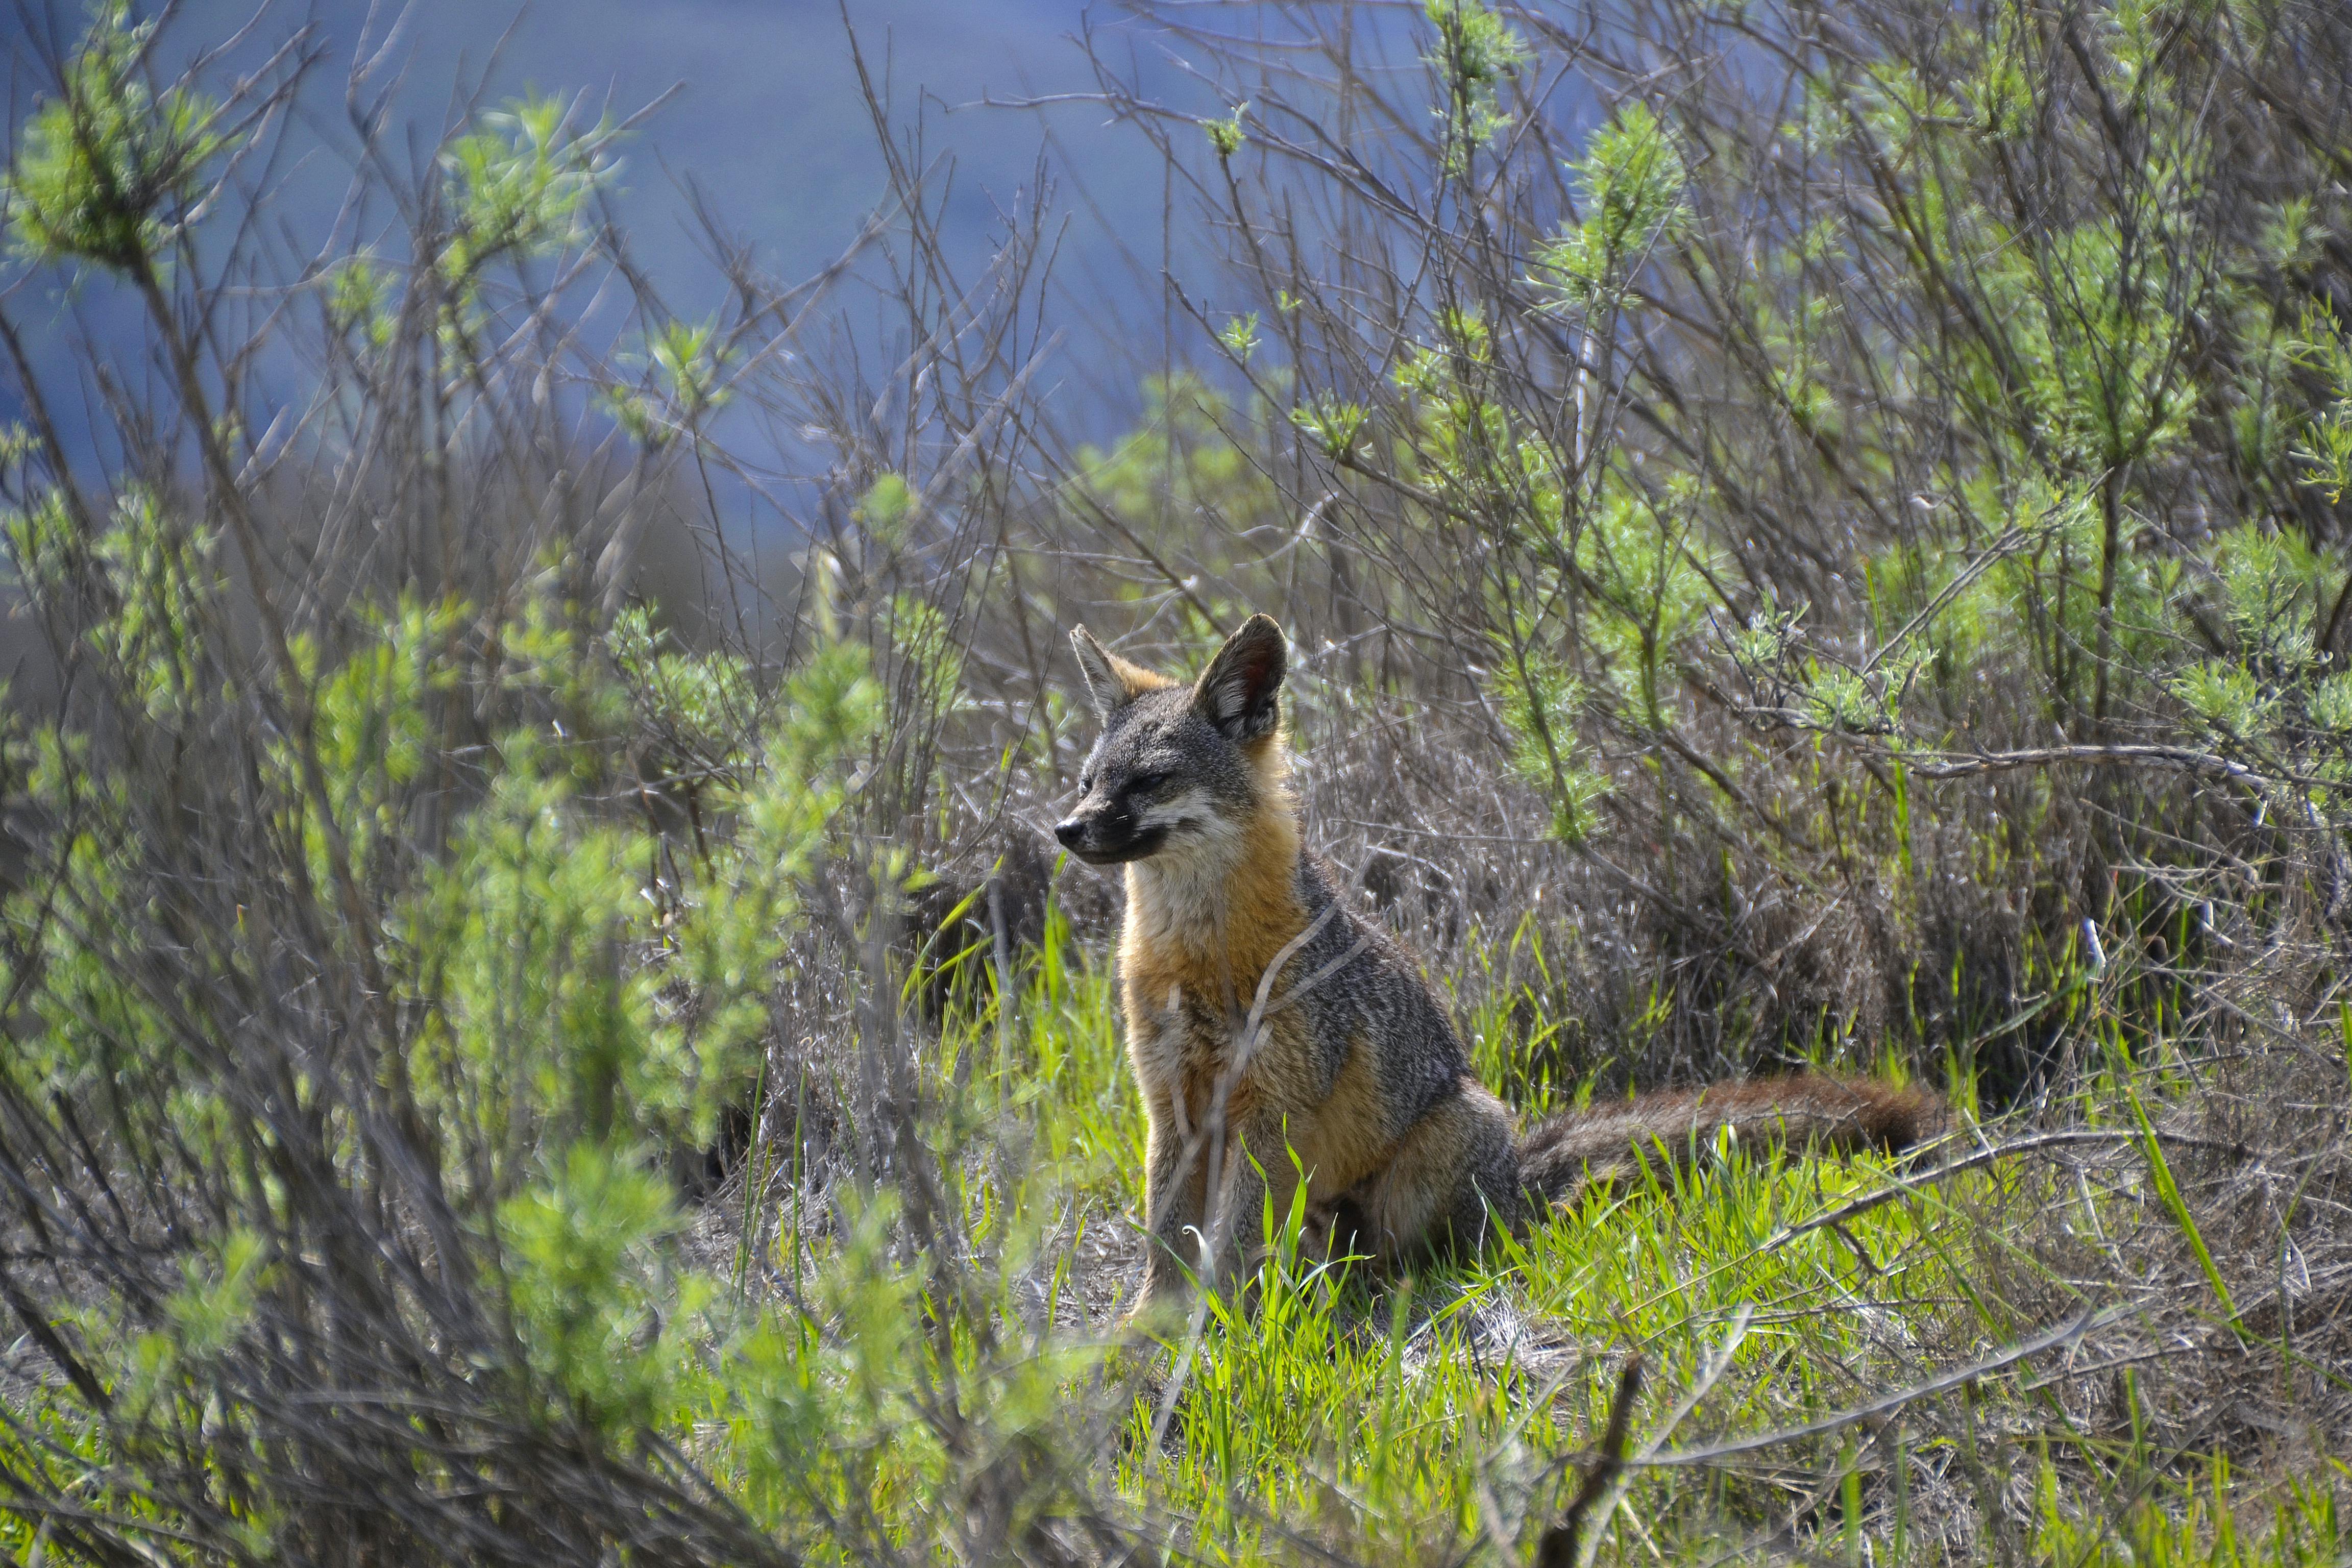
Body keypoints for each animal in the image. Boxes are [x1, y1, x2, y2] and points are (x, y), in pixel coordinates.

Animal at [1054, 613, 1941, 1312]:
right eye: (1089, 781)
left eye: (1149, 781)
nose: (1066, 829)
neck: (1198, 956)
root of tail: (1518, 1176)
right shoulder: (1172, 1105)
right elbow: (1165, 1244)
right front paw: (1146, 1332)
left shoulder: (1268, 1113)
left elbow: (1228, 1252)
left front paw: (1209, 1336)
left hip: (1436, 1153)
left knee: (1421, 1259)